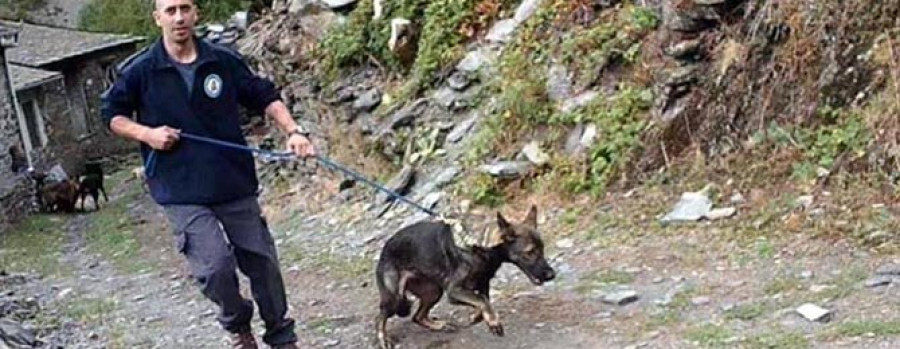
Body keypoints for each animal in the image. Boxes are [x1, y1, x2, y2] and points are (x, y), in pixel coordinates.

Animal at [372, 204, 556, 348]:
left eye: (542, 248)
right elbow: (482, 301)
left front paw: (480, 317)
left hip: (433, 292)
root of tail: (385, 249)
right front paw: (493, 321)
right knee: (380, 317)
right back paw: (383, 339)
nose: (551, 275)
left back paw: (439, 326)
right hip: (394, 298)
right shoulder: (454, 291)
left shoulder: (482, 284)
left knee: (417, 317)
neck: (480, 246)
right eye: (530, 252)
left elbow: (483, 302)